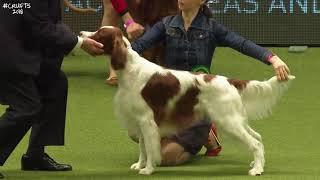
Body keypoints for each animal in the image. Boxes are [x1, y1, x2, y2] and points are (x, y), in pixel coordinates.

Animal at [80, 26, 296, 176]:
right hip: (235, 119)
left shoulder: (147, 120)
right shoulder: (138, 119)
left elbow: (149, 147)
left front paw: (148, 169)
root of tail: (229, 80)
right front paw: (139, 165)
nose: (81, 33)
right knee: (258, 137)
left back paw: (256, 170)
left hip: (229, 121)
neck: (130, 69)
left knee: (255, 142)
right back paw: (257, 164)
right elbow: (142, 146)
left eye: (99, 34)